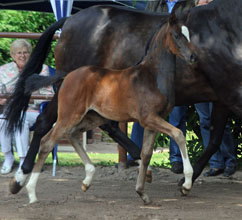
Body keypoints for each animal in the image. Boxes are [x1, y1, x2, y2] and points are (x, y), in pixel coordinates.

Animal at [21, 13, 197, 205]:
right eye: (177, 35)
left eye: (189, 34)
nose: (193, 56)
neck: (152, 76)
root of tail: (68, 75)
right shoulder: (148, 118)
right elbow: (179, 135)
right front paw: (186, 184)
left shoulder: (154, 122)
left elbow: (146, 154)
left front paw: (141, 192)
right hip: (69, 116)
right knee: (47, 142)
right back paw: (31, 192)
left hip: (92, 117)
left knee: (72, 135)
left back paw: (87, 179)